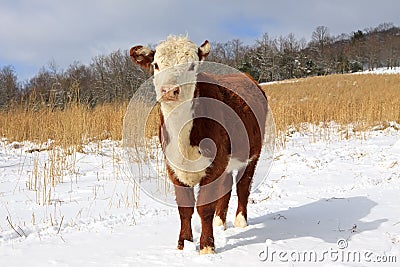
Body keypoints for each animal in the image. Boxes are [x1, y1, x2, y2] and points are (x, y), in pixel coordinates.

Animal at [131, 36, 268, 255]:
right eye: (156, 65)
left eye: (192, 65)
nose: (169, 90)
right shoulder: (173, 167)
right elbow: (185, 208)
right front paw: (184, 244)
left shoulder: (214, 165)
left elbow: (204, 207)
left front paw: (206, 247)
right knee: (226, 186)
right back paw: (221, 222)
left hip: (252, 153)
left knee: (243, 186)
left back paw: (240, 221)